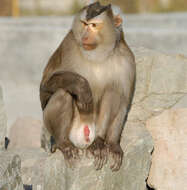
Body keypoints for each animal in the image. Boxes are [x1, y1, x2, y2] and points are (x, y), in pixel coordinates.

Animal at [40, 1, 135, 171]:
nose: (84, 35)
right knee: (63, 93)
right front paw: (81, 86)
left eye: (93, 25)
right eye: (84, 24)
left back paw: (99, 141)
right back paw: (63, 143)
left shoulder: (127, 61)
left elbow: (123, 101)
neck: (99, 55)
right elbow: (44, 88)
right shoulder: (69, 44)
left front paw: (113, 144)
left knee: (113, 93)